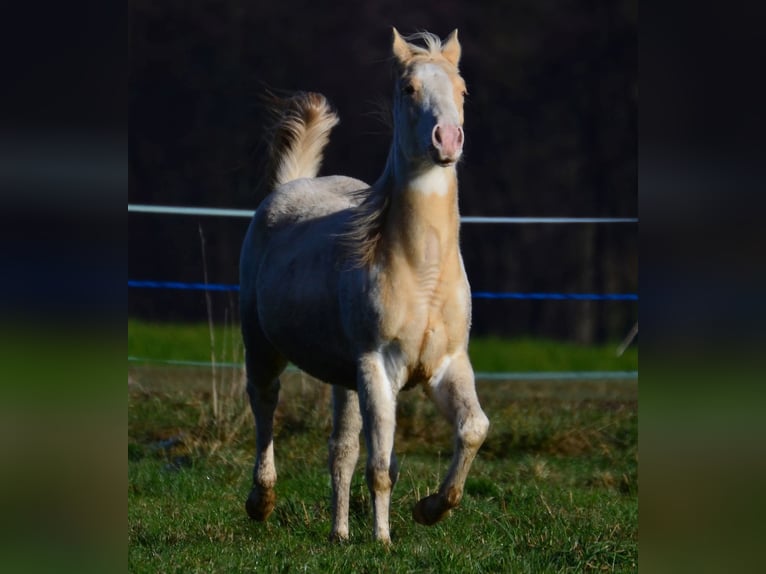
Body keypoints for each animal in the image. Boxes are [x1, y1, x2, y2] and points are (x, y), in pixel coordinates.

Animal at [239, 28, 489, 544]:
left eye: (463, 90)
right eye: (409, 88)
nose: (447, 139)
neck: (422, 273)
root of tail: (289, 187)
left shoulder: (448, 364)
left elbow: (473, 428)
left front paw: (431, 508)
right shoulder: (378, 367)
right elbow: (380, 466)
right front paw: (383, 540)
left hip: (344, 378)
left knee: (340, 449)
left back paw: (339, 534)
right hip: (262, 344)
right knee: (264, 403)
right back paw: (261, 502)